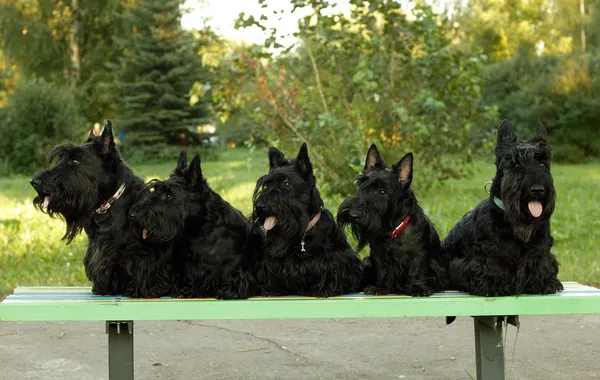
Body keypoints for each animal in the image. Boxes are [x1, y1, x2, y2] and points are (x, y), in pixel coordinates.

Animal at [252, 142, 364, 296]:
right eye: (267, 184)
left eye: (287, 183)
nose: (260, 206)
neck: (302, 232)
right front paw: (271, 289)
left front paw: (325, 289)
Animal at [440, 120, 564, 298]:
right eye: (515, 163)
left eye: (542, 163)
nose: (537, 190)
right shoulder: (490, 253)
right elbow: (493, 266)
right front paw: (494, 285)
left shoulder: (539, 250)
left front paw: (543, 282)